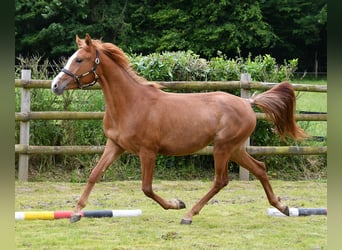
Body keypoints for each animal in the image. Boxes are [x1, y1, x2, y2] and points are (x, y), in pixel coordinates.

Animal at [50, 33, 308, 225]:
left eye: (79, 60)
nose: (55, 85)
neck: (131, 103)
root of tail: (248, 103)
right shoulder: (115, 145)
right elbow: (94, 174)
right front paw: (76, 212)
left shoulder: (148, 151)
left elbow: (146, 188)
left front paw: (176, 204)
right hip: (235, 149)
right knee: (260, 168)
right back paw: (283, 206)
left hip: (223, 148)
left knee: (220, 181)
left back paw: (188, 214)